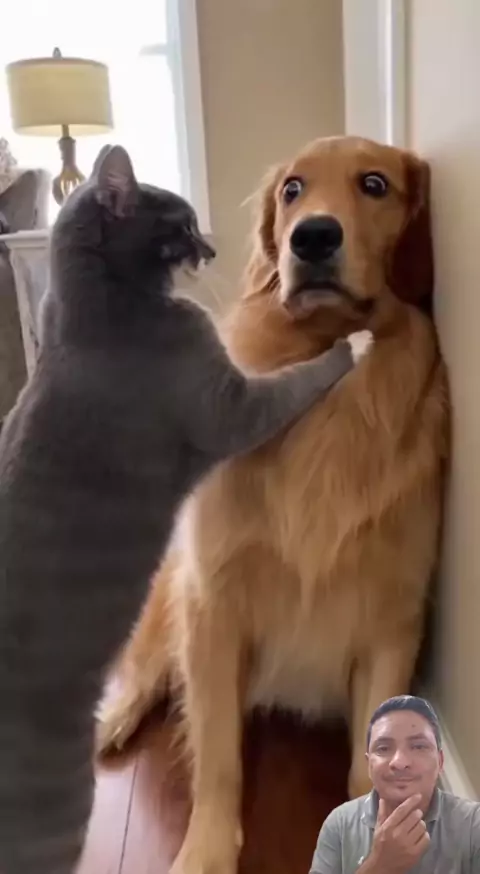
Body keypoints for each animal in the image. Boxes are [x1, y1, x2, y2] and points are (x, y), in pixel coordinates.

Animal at [0, 144, 373, 874]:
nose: (211, 244)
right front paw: (355, 344)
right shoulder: (230, 406)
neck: (95, 308)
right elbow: (295, 381)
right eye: (181, 222)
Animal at [97, 136, 449, 874]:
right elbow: (218, 754)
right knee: (141, 671)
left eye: (375, 184)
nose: (311, 236)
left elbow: (371, 758)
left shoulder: (391, 617)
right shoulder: (213, 604)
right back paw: (110, 721)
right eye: (292, 189)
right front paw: (205, 851)